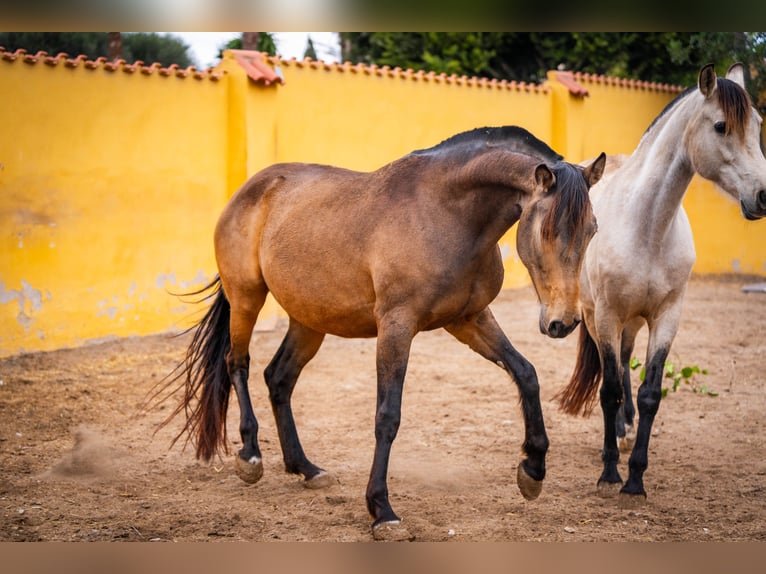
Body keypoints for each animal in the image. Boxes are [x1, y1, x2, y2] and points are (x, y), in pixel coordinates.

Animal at [156, 125, 606, 541]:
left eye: (593, 230)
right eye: (547, 231)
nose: (563, 323)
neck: (446, 212)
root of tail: (251, 190)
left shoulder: (470, 319)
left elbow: (526, 373)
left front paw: (533, 469)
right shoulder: (397, 325)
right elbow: (387, 416)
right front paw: (382, 510)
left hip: (309, 320)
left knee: (278, 378)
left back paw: (305, 468)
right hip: (247, 297)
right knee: (238, 363)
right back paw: (251, 456)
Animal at [557, 63, 766, 508]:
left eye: (757, 125)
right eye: (721, 126)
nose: (763, 196)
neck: (648, 226)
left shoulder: (667, 316)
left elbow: (650, 393)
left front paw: (635, 478)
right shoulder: (608, 315)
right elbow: (609, 390)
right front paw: (609, 473)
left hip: (633, 322)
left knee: (623, 361)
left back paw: (625, 429)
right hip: (596, 317)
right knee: (611, 371)